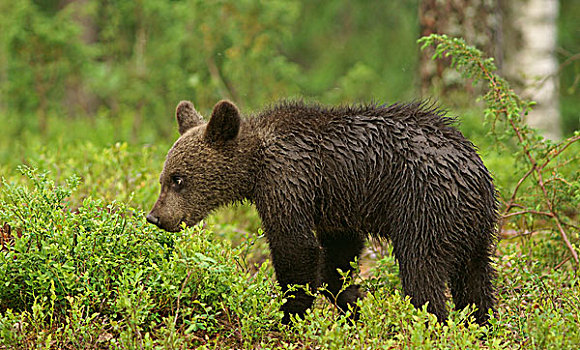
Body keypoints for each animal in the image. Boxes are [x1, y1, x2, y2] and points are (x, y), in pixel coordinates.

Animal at [146, 98, 498, 326]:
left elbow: (296, 249)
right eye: (163, 178)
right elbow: (338, 258)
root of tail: (477, 173)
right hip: (474, 231)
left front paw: (290, 317)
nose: (155, 216)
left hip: (425, 206)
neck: (255, 165)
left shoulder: (289, 181)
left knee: (421, 273)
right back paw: (481, 326)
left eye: (178, 179)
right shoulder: (336, 206)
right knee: (475, 283)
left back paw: (431, 324)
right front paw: (353, 304)